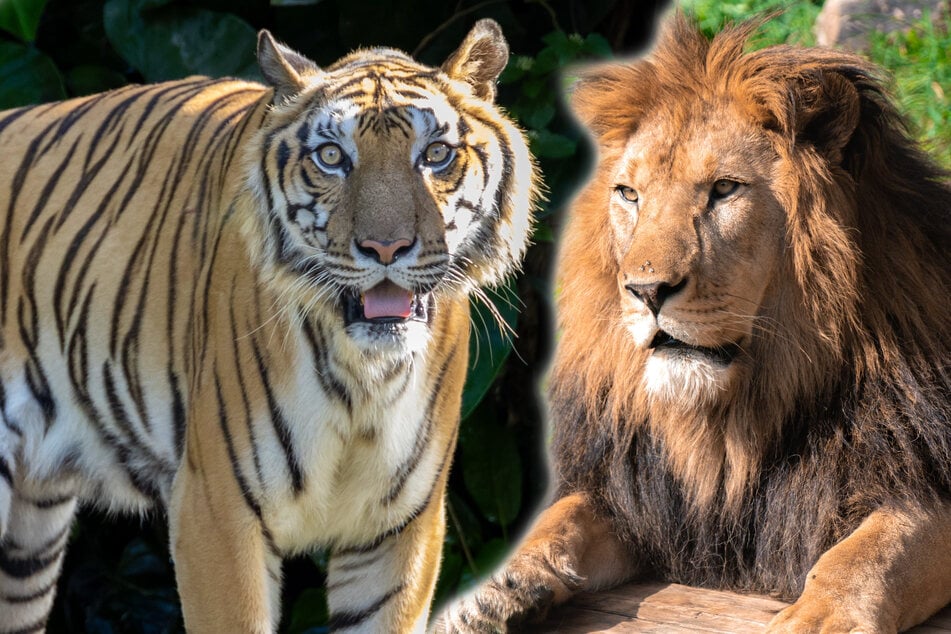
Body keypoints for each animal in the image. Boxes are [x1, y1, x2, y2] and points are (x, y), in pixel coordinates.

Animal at [0, 18, 536, 634]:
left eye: (436, 154)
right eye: (332, 156)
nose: (386, 248)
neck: (365, 375)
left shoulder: (401, 528)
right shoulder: (216, 510)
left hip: (28, 534)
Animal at [443, 14, 951, 633]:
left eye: (725, 189)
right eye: (629, 194)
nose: (645, 291)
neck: (736, 417)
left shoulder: (919, 474)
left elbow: (867, 553)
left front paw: (817, 619)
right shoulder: (645, 499)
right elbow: (561, 516)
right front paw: (493, 594)